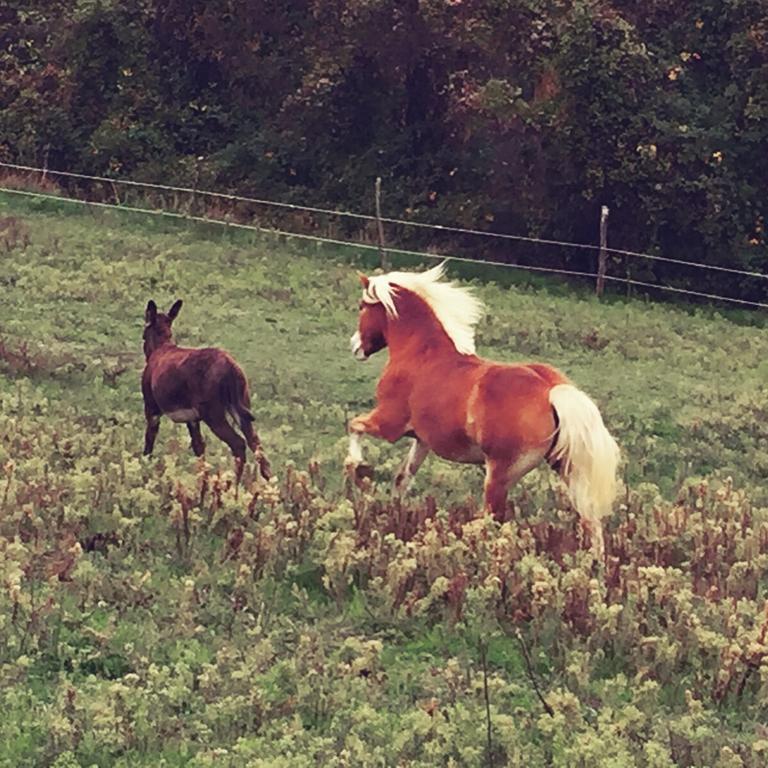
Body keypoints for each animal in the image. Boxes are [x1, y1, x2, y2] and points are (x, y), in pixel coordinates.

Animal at [142, 302, 272, 486]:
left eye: (143, 335)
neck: (160, 347)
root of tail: (232, 367)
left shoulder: (151, 407)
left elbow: (149, 442)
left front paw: (144, 471)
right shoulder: (192, 417)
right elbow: (199, 448)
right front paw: (202, 482)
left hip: (213, 413)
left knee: (239, 444)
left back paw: (232, 487)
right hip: (241, 406)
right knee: (256, 444)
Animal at [344, 264, 620, 560]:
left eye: (361, 306)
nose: (355, 347)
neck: (421, 354)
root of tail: (551, 391)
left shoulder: (389, 424)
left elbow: (354, 426)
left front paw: (357, 469)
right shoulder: (422, 440)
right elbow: (401, 478)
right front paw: (394, 517)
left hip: (499, 475)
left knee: (495, 518)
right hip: (566, 467)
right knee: (590, 518)